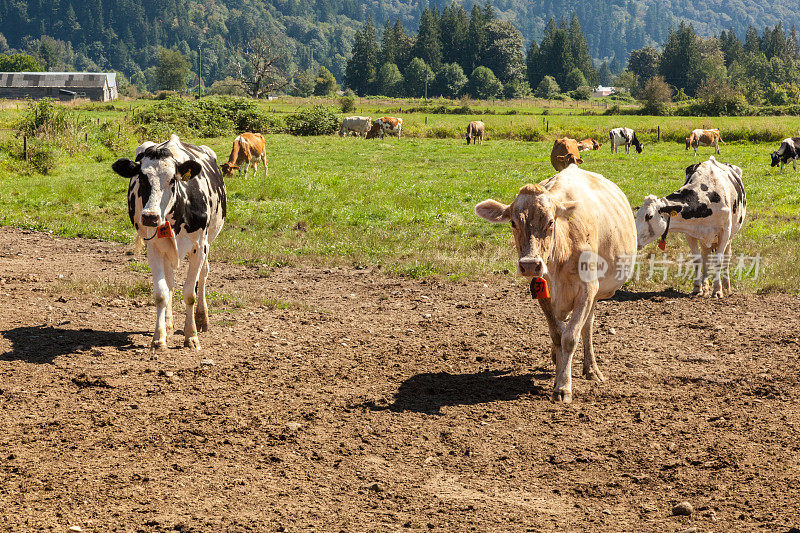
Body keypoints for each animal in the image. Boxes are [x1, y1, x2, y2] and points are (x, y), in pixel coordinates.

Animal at [111, 134, 228, 350]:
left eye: (173, 179)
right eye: (141, 178)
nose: (150, 216)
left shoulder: (199, 246)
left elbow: (190, 293)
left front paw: (191, 336)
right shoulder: (155, 248)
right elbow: (161, 293)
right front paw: (159, 337)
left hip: (209, 241)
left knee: (204, 275)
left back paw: (202, 319)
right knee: (171, 281)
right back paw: (169, 322)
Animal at [476, 164, 636, 402]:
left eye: (551, 222)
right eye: (513, 222)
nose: (530, 264)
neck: (561, 252)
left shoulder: (587, 290)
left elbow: (570, 337)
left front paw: (563, 386)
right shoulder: (542, 291)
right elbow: (557, 334)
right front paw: (559, 371)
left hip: (596, 293)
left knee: (587, 324)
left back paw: (591, 369)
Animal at [636, 156, 748, 298]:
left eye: (649, 216)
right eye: (636, 215)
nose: (633, 239)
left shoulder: (725, 232)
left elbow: (718, 260)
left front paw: (717, 290)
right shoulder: (690, 232)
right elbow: (697, 260)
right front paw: (697, 288)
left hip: (731, 235)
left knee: (727, 256)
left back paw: (726, 286)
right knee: (705, 255)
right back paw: (705, 284)